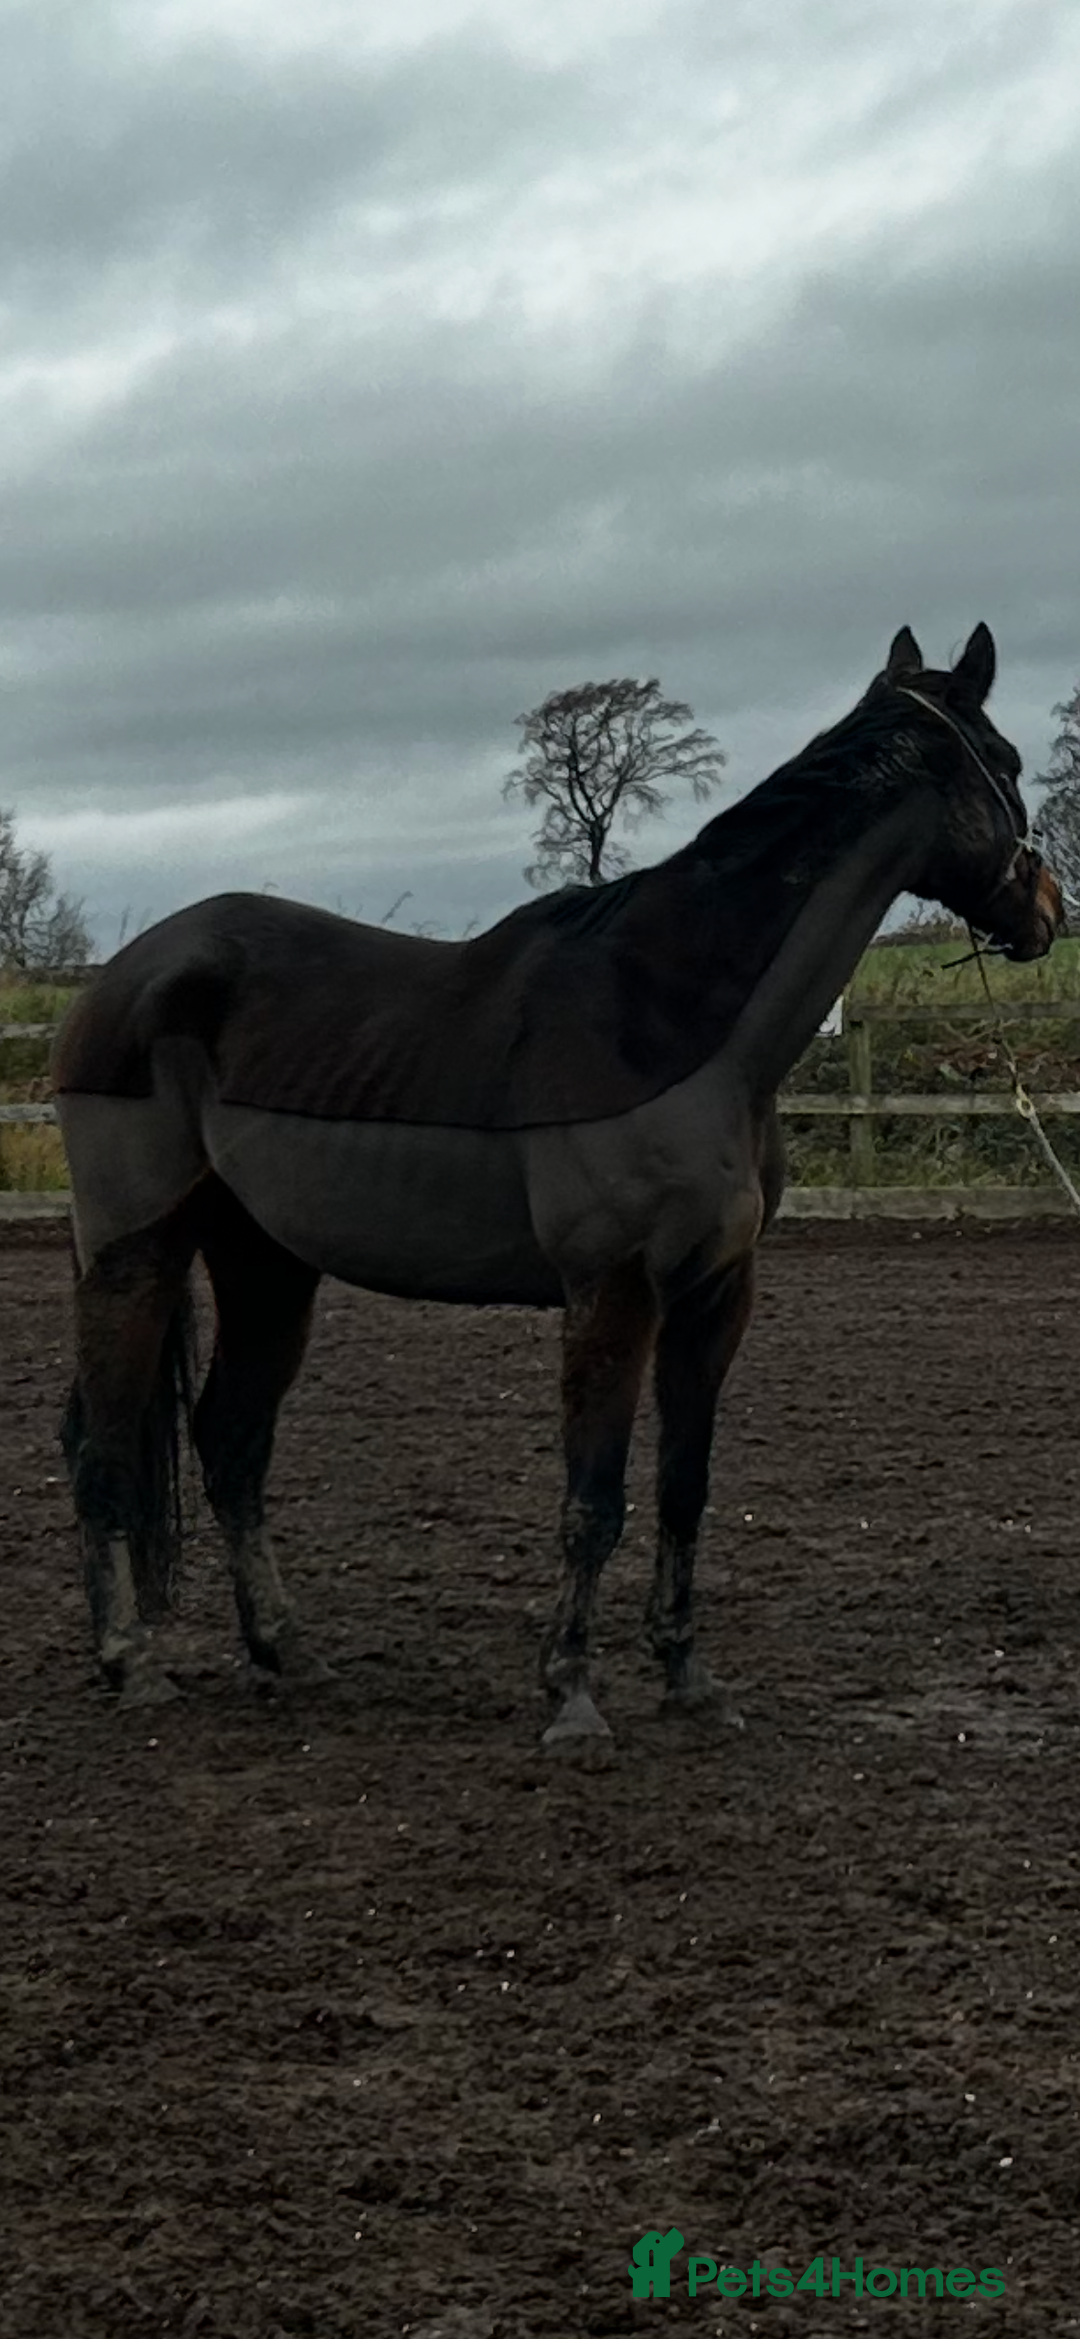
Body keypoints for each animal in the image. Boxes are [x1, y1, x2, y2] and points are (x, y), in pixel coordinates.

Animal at [52, 623, 1063, 1742]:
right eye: (1009, 763)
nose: (1048, 909)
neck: (679, 1024)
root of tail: (126, 976)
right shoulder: (612, 1290)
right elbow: (594, 1496)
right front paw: (573, 1696)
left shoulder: (716, 1294)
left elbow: (682, 1487)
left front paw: (689, 1679)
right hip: (136, 1249)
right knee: (102, 1443)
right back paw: (131, 1660)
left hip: (266, 1264)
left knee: (229, 1440)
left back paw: (288, 1651)